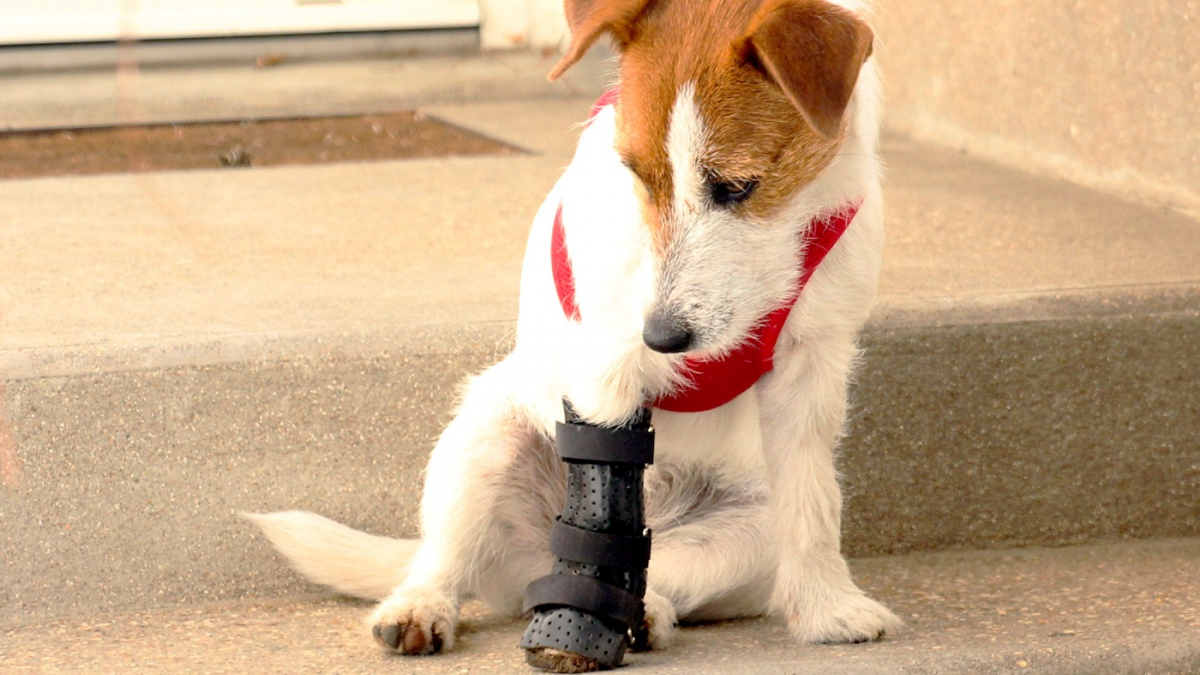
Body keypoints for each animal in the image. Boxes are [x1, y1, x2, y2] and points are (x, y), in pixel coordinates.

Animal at [246, 0, 902, 658]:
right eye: (637, 175)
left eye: (737, 187)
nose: (661, 338)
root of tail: (533, 569)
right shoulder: (607, 369)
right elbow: (601, 492)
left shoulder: (813, 365)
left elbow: (813, 504)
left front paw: (826, 607)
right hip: (484, 439)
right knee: (450, 556)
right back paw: (424, 605)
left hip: (747, 534)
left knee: (660, 569)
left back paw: (641, 614)